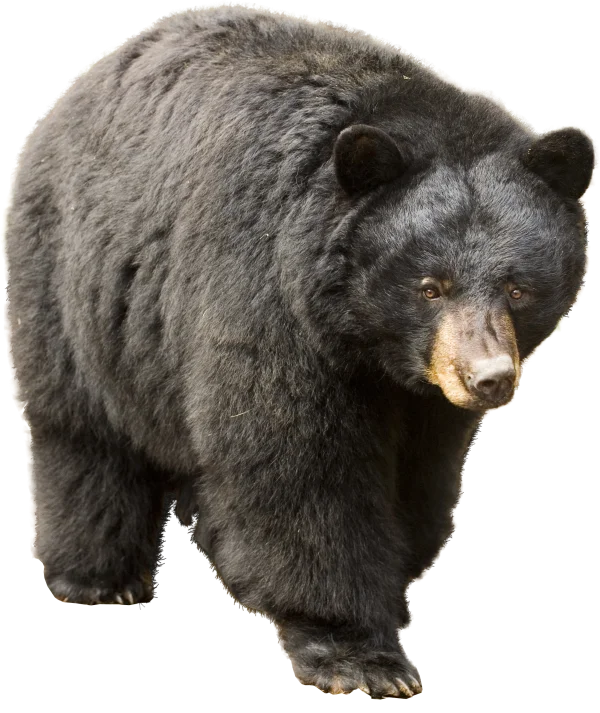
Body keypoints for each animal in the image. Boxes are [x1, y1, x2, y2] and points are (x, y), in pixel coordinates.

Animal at [2, 2, 596, 699]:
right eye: (430, 287)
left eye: (517, 287)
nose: (488, 378)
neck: (362, 339)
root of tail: (73, 95)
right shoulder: (267, 294)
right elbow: (300, 468)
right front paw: (358, 655)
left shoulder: (423, 400)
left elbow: (419, 474)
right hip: (73, 285)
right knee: (83, 434)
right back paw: (100, 579)